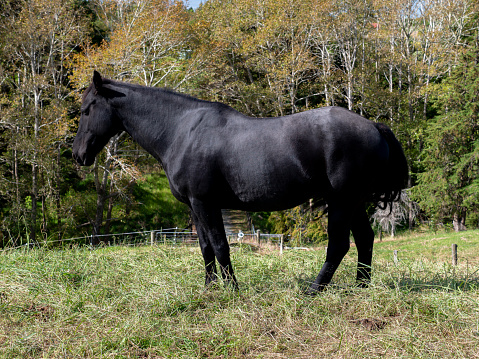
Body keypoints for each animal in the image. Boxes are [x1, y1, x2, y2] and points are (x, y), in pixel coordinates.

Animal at [73, 71, 406, 294]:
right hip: (355, 202)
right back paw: (361, 286)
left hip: (341, 201)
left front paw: (232, 289)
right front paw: (209, 287)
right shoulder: (195, 206)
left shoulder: (206, 203)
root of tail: (373, 126)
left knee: (338, 245)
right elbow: (206, 248)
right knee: (364, 239)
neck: (182, 130)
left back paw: (314, 290)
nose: (78, 155)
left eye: (86, 110)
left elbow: (221, 246)